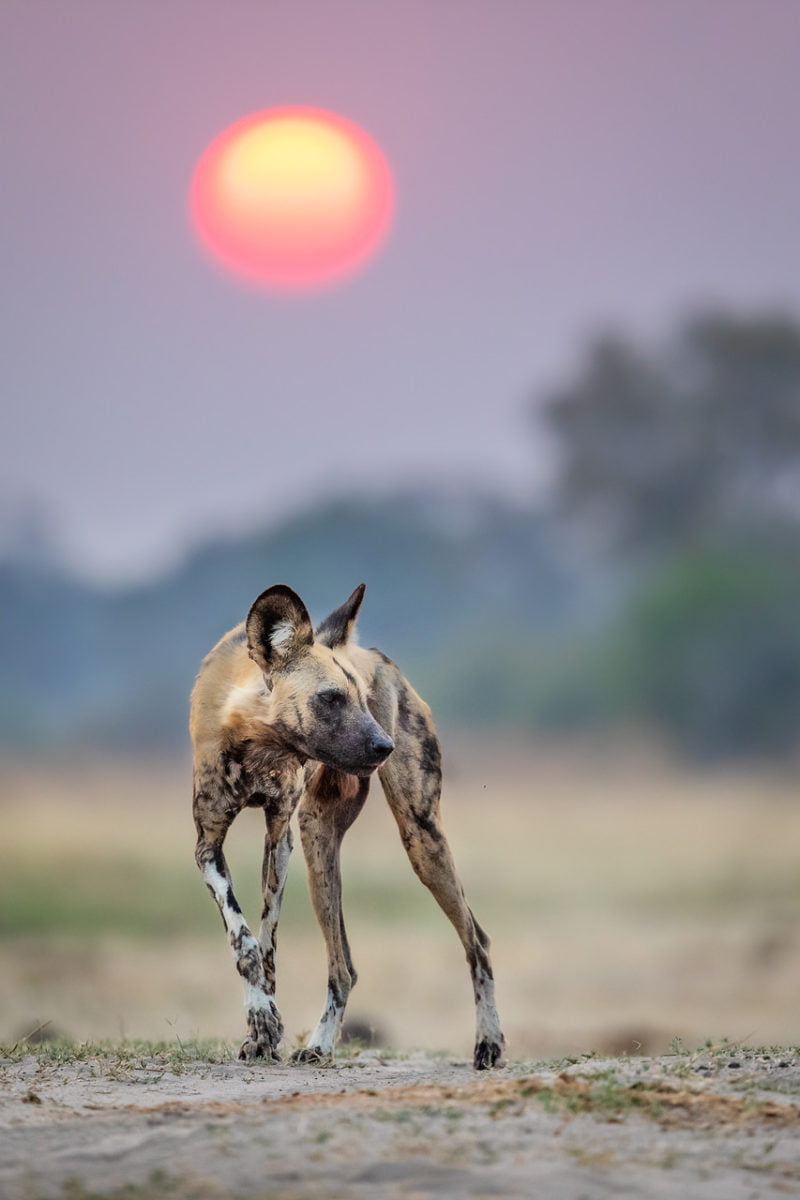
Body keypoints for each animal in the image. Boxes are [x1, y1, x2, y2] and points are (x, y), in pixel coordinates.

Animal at [190, 583, 503, 1070]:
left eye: (359, 696)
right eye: (331, 698)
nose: (385, 746)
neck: (256, 739)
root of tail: (375, 654)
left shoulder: (280, 837)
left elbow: (266, 942)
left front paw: (266, 1025)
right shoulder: (208, 845)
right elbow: (245, 943)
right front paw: (261, 1028)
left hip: (416, 838)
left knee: (476, 942)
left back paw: (486, 1042)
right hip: (319, 841)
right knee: (345, 967)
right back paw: (319, 1044)